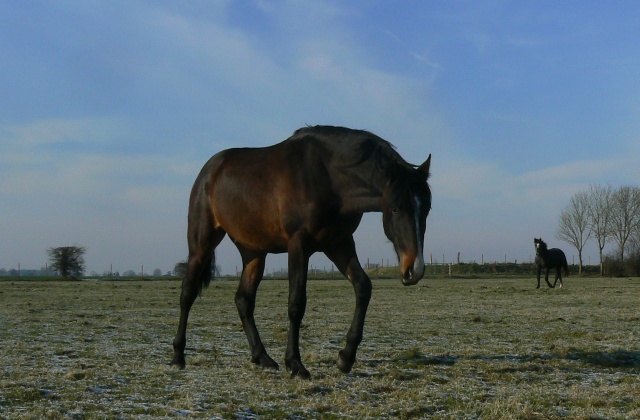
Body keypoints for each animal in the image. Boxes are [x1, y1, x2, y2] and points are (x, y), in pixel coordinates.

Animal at [170, 124, 432, 378]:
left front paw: (345, 358)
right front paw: (295, 364)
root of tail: (210, 170)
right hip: (201, 245)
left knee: (243, 300)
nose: (415, 268)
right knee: (188, 293)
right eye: (395, 208)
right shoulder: (298, 244)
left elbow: (363, 287)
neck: (329, 178)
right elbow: (296, 303)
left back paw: (262, 357)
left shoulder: (339, 243)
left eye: (427, 208)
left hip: (253, 252)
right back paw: (178, 356)